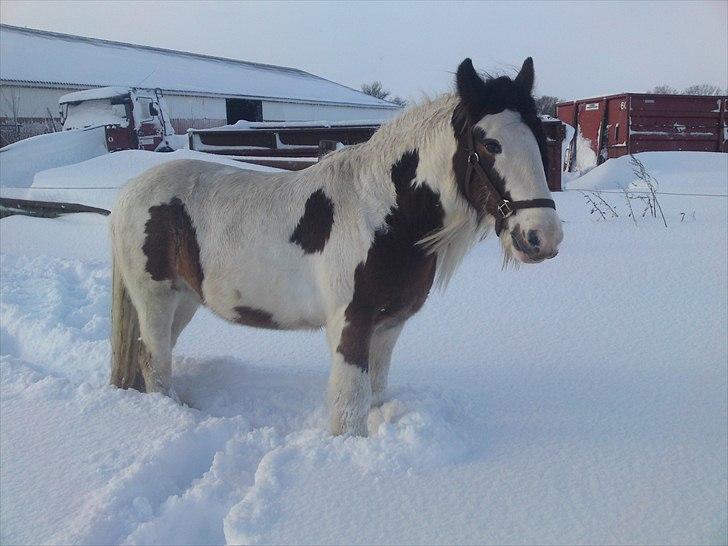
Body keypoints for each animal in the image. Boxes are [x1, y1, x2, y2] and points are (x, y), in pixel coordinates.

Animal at [109, 57, 564, 436]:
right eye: (489, 144)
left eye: (541, 141)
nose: (542, 237)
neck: (382, 217)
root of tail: (128, 192)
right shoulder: (350, 325)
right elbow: (349, 406)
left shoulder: (390, 325)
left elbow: (374, 393)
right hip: (156, 298)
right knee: (154, 359)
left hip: (185, 298)